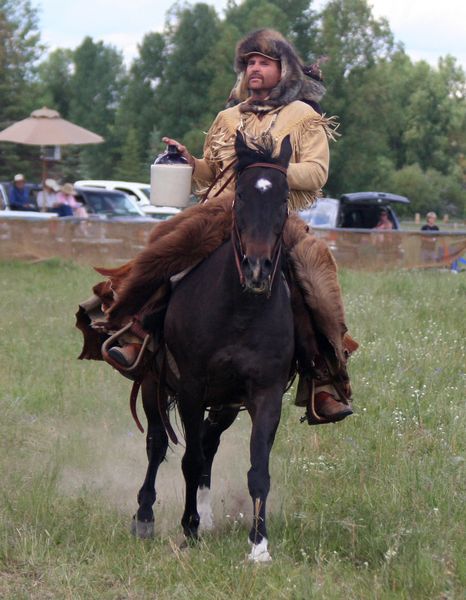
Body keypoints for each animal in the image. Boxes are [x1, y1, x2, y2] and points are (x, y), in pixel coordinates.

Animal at [133, 132, 294, 564]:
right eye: (239, 194)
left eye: (284, 198)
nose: (257, 267)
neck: (240, 311)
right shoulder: (191, 387)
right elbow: (189, 459)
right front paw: (187, 528)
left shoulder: (265, 392)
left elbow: (258, 469)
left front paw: (259, 545)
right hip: (154, 383)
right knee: (157, 444)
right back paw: (145, 516)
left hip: (225, 404)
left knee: (208, 441)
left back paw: (204, 516)